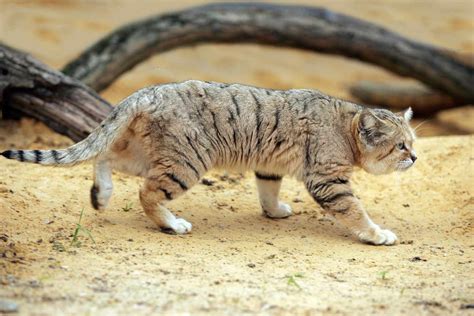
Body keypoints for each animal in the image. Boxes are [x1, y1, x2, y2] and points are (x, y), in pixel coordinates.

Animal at [0, 80, 416, 246]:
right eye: (399, 146)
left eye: (412, 143)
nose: (415, 157)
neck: (345, 123)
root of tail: (149, 91)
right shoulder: (328, 179)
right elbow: (354, 210)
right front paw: (376, 234)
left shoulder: (270, 166)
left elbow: (267, 190)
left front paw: (274, 211)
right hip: (187, 161)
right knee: (147, 193)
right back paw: (171, 224)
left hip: (148, 153)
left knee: (104, 155)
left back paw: (101, 196)